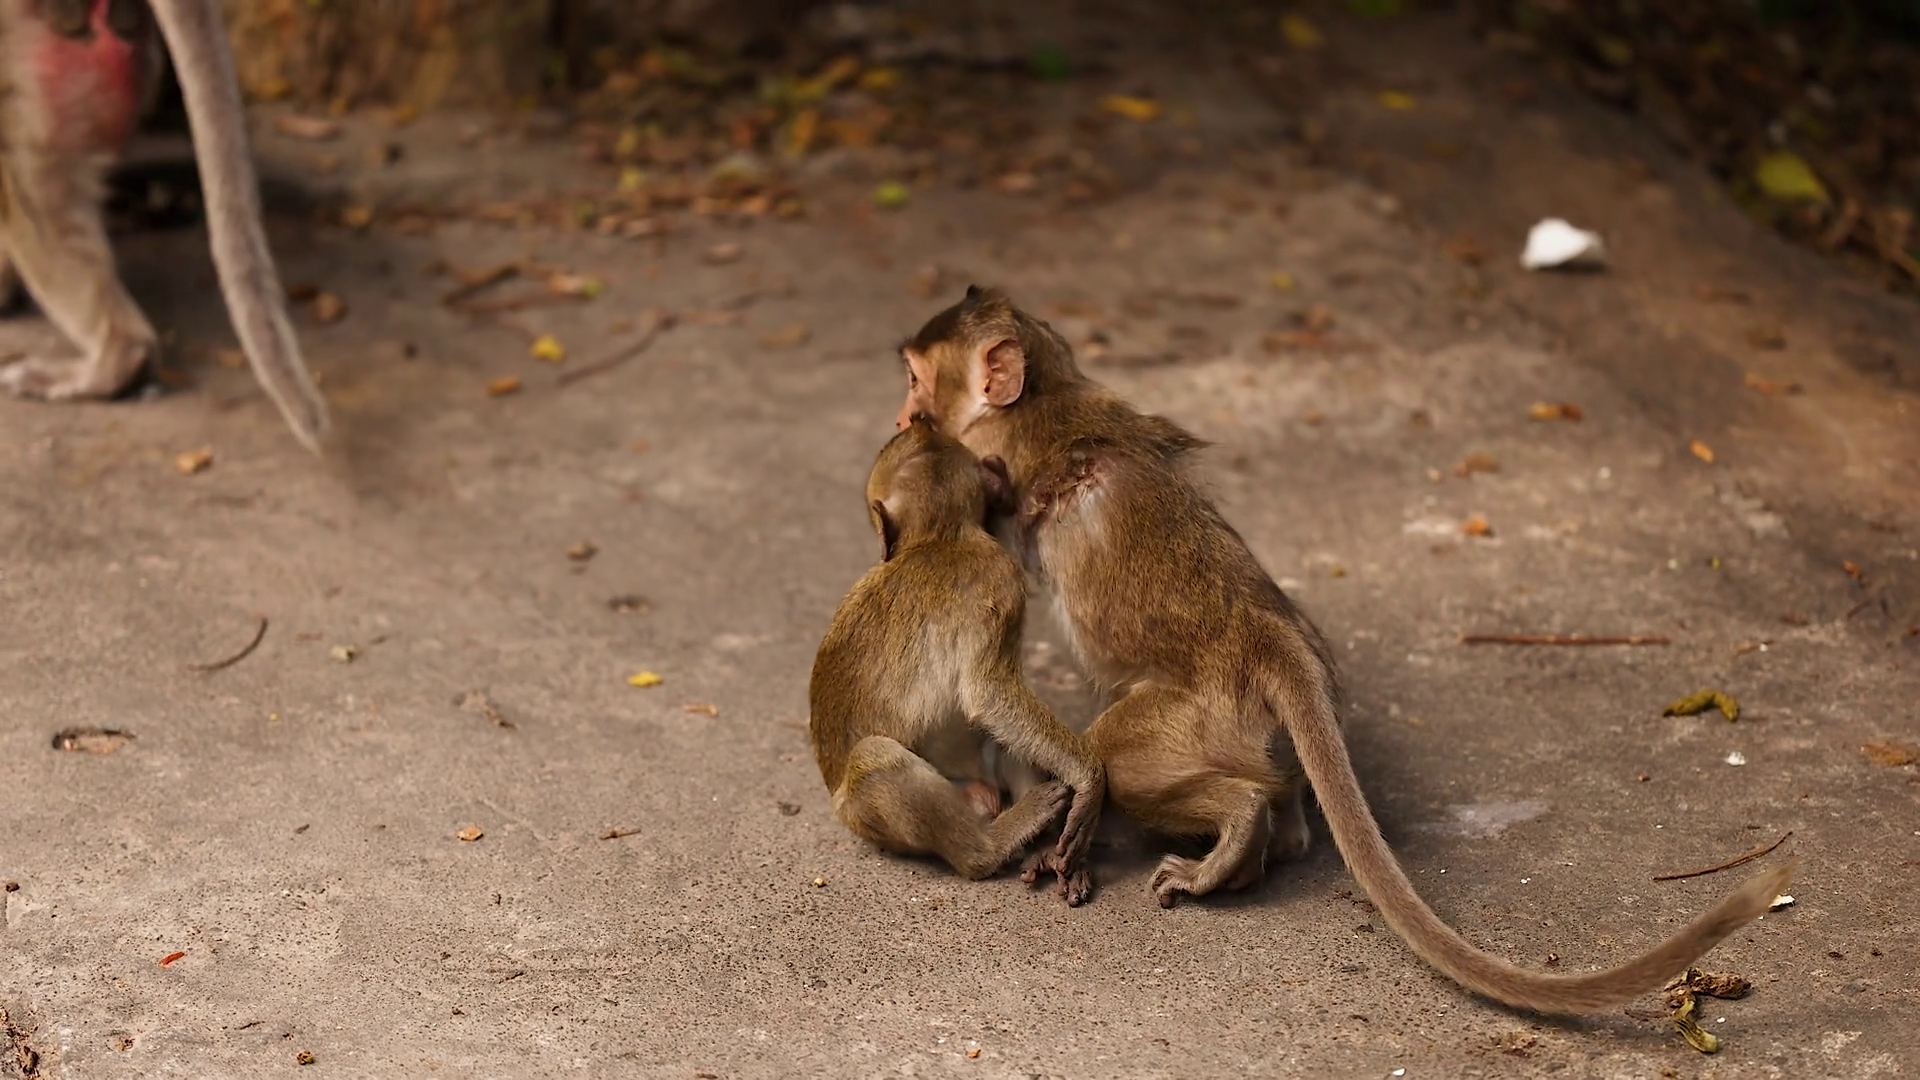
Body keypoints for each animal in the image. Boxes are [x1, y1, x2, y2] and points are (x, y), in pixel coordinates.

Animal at [809, 417, 1107, 903]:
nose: (921, 418)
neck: (940, 536)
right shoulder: (1000, 576)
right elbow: (989, 692)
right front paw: (1090, 779)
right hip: (870, 816)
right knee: (875, 759)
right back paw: (993, 845)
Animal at [890, 285, 1793, 1015]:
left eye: (915, 381)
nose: (903, 418)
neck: (1044, 395)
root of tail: (1267, 636)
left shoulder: (995, 465)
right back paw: (1275, 839)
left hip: (1196, 717)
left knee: (1126, 757)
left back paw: (1234, 835)